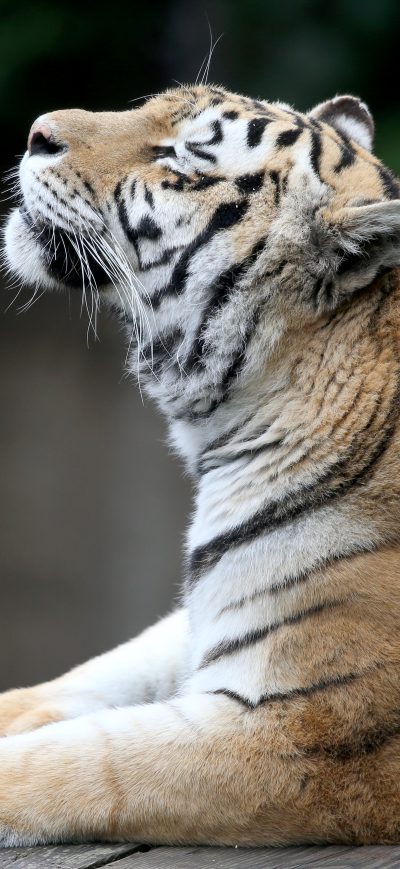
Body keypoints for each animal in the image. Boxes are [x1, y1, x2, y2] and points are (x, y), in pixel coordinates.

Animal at [2, 83, 400, 848]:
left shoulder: (299, 728)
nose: (35, 132)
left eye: (182, 159)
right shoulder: (204, 617)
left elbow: (89, 762)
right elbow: (92, 675)